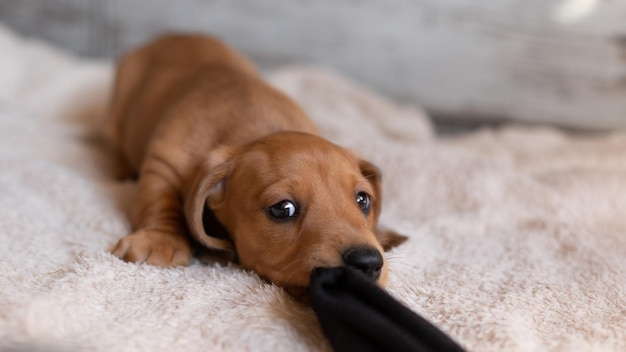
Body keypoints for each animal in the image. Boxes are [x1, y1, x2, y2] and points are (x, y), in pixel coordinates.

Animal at [109, 33, 408, 292]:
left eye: (363, 200)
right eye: (283, 209)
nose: (368, 261)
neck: (255, 125)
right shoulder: (164, 163)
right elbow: (159, 199)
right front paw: (160, 238)